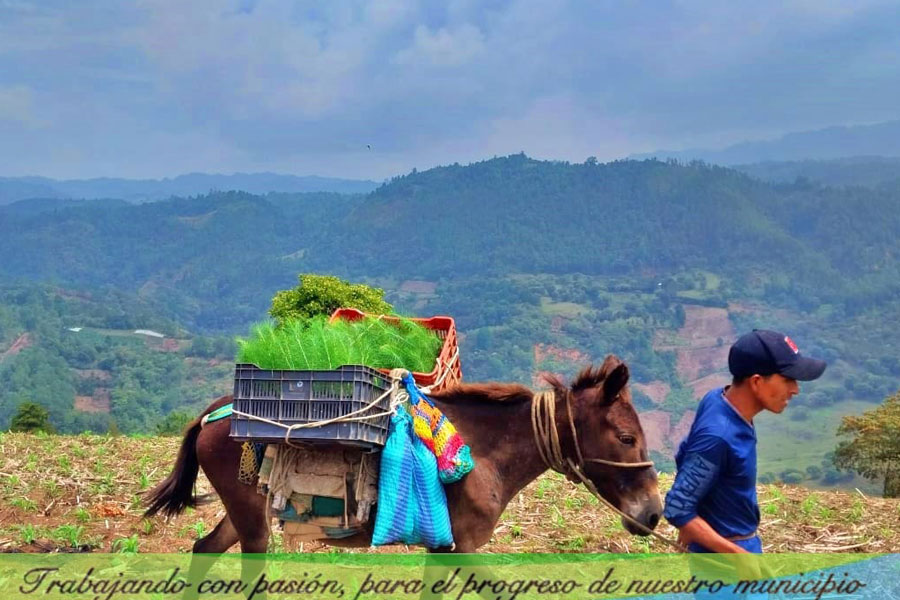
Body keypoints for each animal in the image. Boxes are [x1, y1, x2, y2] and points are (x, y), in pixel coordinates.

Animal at [145, 354, 661, 557]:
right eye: (626, 438)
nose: (654, 514)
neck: (484, 453)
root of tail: (215, 412)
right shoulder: (461, 545)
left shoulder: (444, 546)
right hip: (253, 521)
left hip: (243, 511)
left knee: (203, 548)